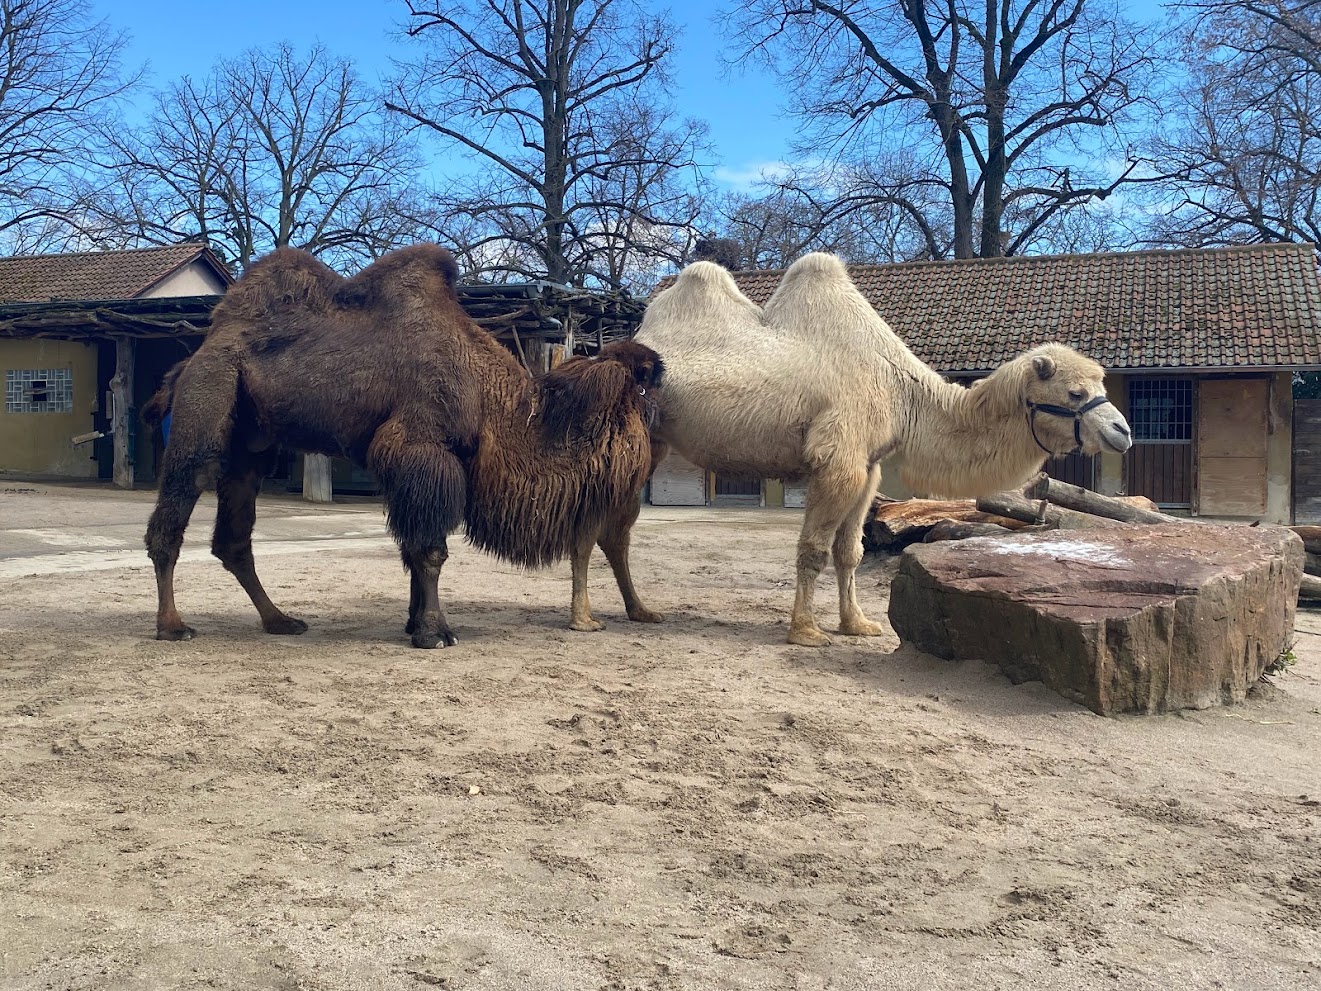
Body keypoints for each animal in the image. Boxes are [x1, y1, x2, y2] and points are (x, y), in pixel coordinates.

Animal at [143, 244, 662, 648]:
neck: (495, 402)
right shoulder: (423, 449)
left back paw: (281, 620)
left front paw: (415, 624)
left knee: (234, 536)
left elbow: (414, 548)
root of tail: (195, 353)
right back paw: (173, 626)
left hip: (253, 445)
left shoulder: (418, 466)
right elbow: (430, 550)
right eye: (641, 387)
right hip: (207, 397)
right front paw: (436, 632)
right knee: (177, 505)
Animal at [599, 252, 1133, 647]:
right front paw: (806, 631)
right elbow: (814, 548)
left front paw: (856, 624)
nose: (1123, 431)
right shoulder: (838, 461)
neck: (902, 393)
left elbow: (849, 551)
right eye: (1075, 393)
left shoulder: (869, 467)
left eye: (1100, 382)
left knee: (616, 531)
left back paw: (639, 610)